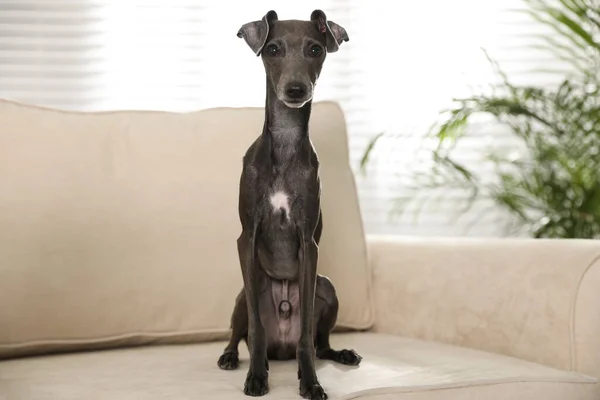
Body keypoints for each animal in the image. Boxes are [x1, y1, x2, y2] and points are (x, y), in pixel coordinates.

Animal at [218, 8, 364, 400]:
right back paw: (233, 358)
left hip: (327, 287)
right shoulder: (246, 237)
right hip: (244, 292)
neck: (284, 145)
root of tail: (279, 349)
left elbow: (306, 337)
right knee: (240, 333)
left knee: (319, 343)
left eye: (315, 49)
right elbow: (254, 327)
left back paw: (341, 353)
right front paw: (256, 377)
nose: (296, 89)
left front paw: (310, 382)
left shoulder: (307, 242)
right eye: (273, 49)